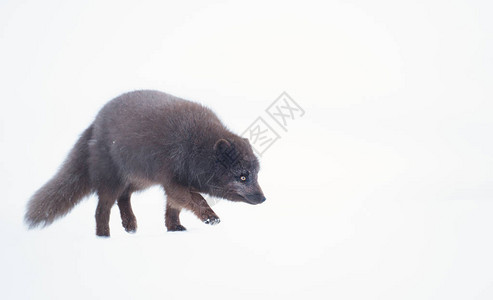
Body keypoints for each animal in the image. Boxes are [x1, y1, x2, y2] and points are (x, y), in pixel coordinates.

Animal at [25, 89, 266, 237]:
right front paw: (210, 217)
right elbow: (196, 199)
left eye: (256, 174)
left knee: (123, 197)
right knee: (102, 208)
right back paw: (104, 236)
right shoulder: (172, 181)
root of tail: (94, 125)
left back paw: (129, 224)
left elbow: (174, 207)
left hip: (141, 180)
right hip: (112, 180)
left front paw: (174, 228)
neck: (195, 148)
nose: (263, 198)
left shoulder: (172, 183)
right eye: (242, 176)